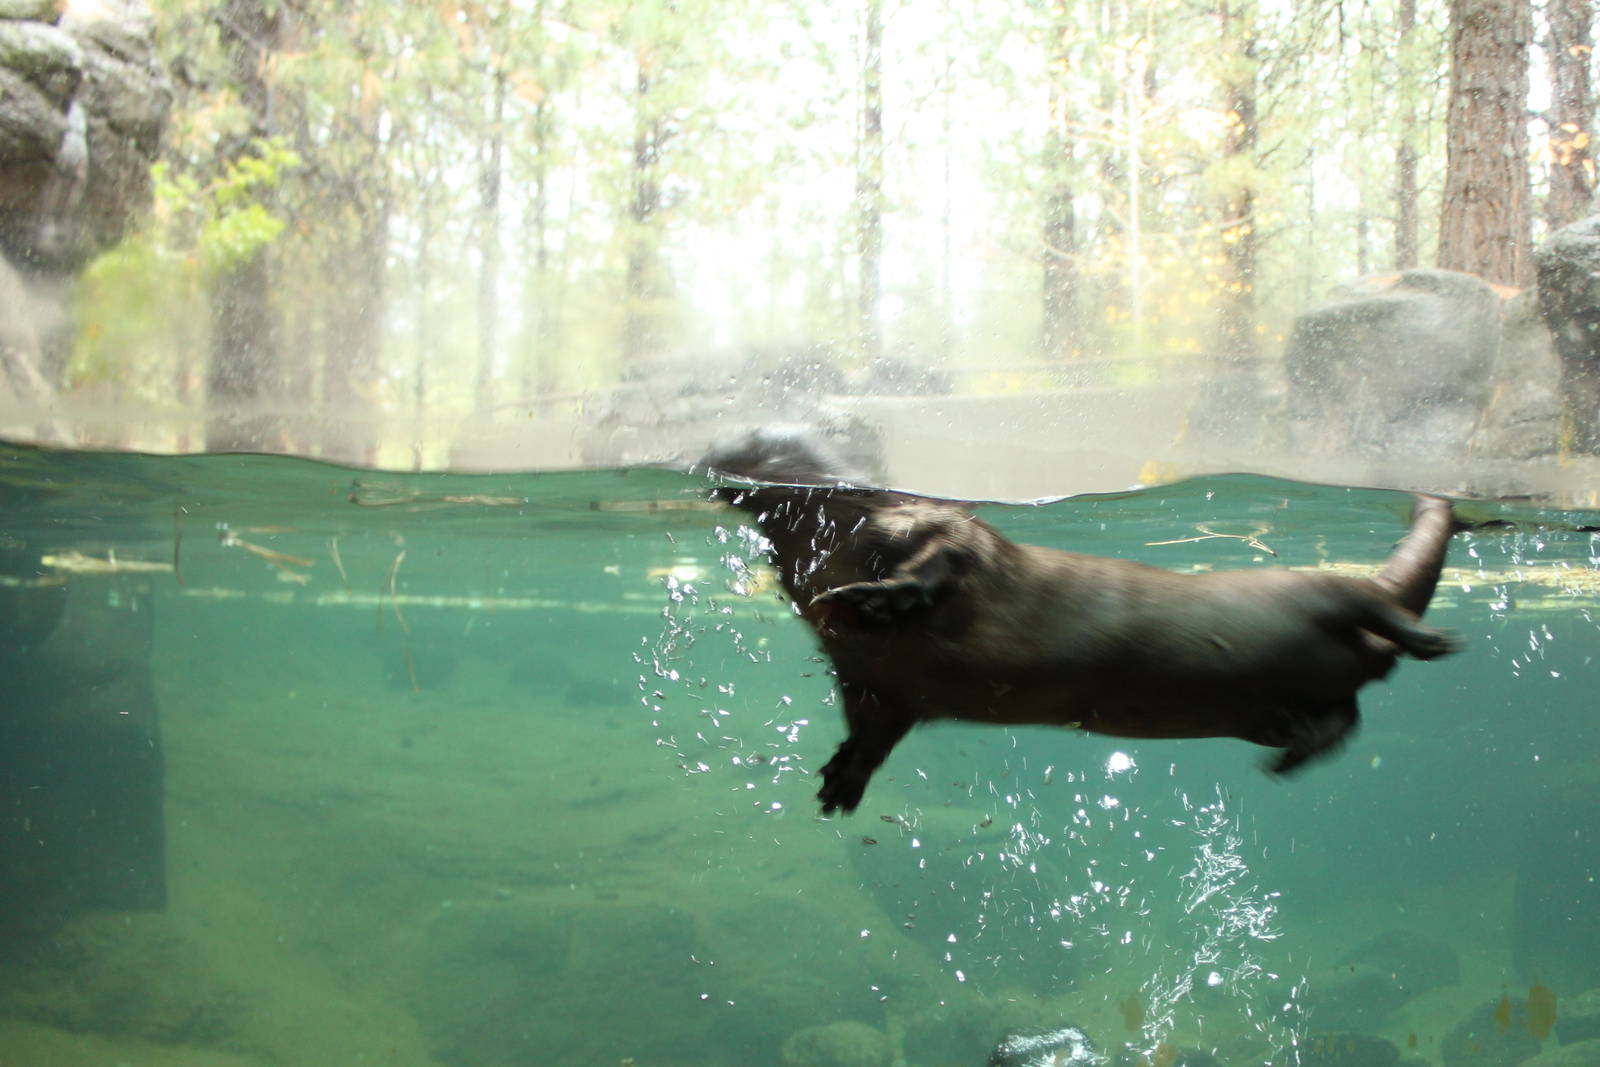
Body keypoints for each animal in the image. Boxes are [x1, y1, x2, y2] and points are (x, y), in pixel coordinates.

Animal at [702, 426, 1463, 816]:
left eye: (767, 437)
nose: (714, 449)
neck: (837, 535)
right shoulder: (869, 679)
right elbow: (874, 726)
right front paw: (843, 776)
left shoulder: (945, 529)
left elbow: (940, 565)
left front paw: (873, 598)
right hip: (1272, 703)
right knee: (1347, 714)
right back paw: (1293, 753)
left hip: (1302, 591)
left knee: (1367, 606)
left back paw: (1432, 639)